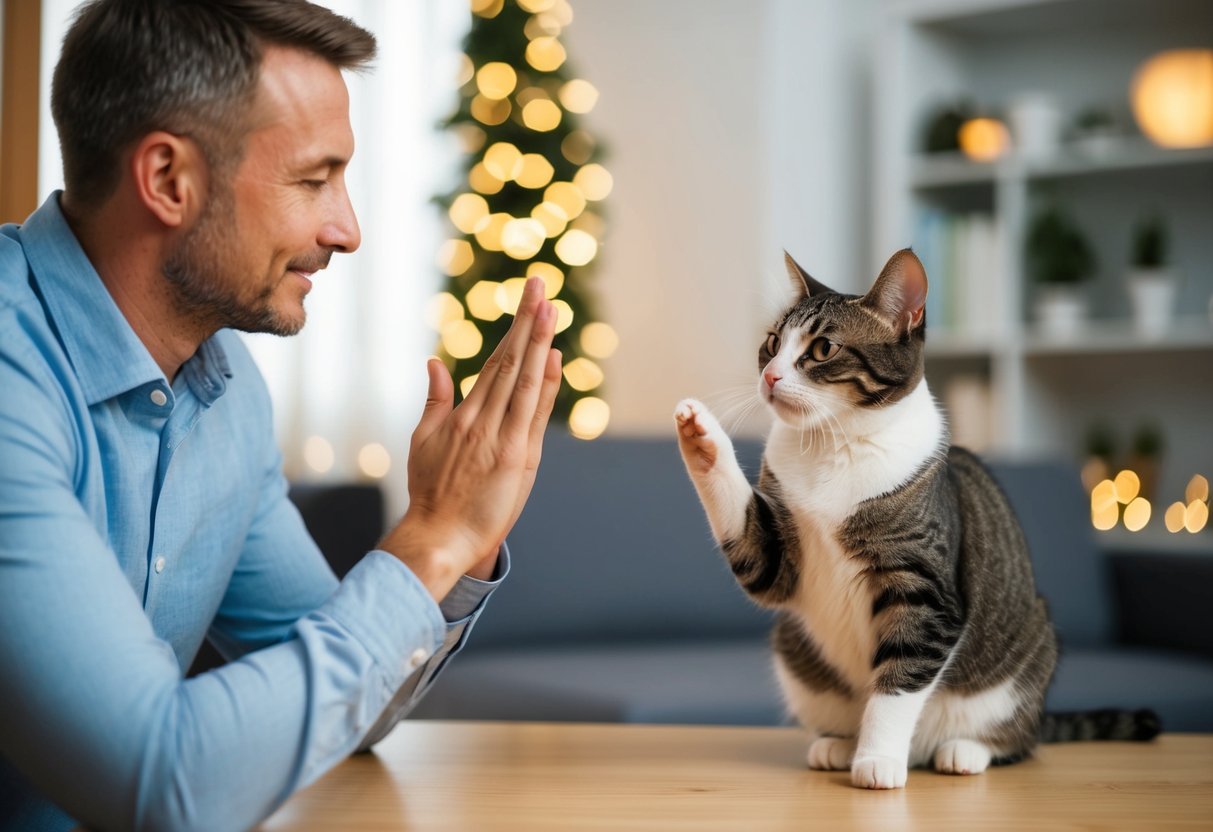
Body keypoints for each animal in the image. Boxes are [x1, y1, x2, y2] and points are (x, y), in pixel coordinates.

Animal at [674, 246, 1154, 790]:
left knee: (1018, 741)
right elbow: (752, 546)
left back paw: (962, 751)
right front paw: (699, 434)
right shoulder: (776, 561)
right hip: (793, 649)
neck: (833, 445)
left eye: (822, 349)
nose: (770, 375)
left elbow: (898, 683)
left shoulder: (925, 591)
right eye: (772, 343)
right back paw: (839, 745)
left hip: (1026, 658)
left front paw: (878, 761)